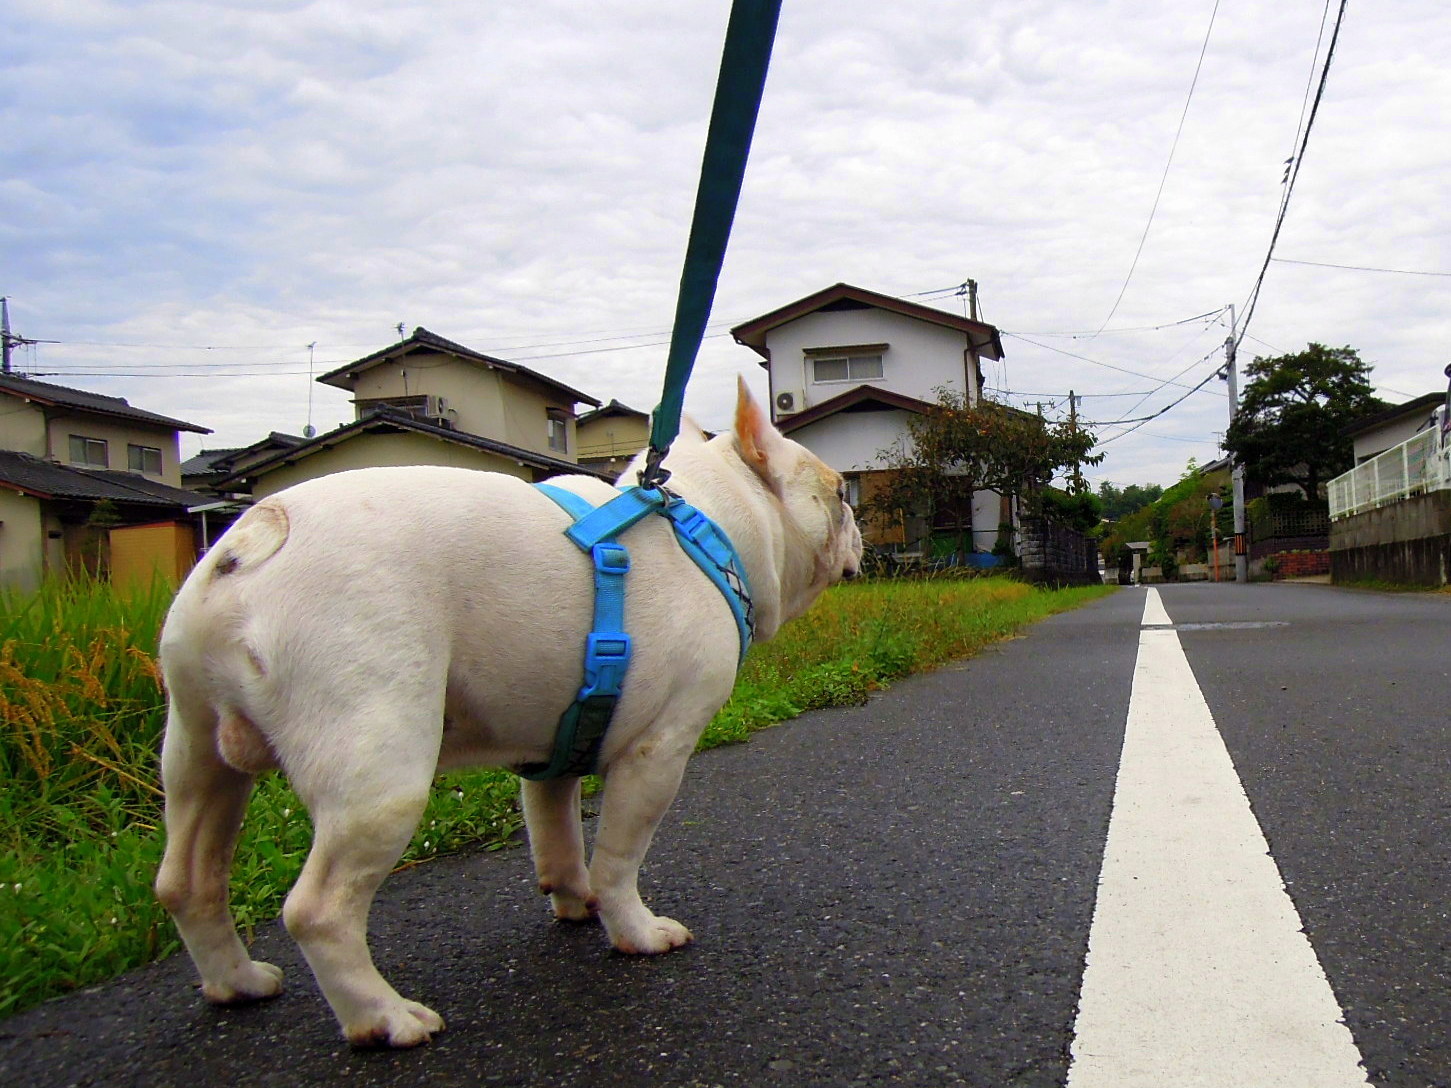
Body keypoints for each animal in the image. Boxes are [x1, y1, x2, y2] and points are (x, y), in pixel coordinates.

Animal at [155, 382, 858, 1050]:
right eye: (839, 489)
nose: (857, 515)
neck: (705, 524)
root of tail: (259, 533)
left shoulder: (554, 751)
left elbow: (559, 838)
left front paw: (577, 901)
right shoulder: (658, 752)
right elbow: (619, 857)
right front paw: (634, 931)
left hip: (196, 752)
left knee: (188, 878)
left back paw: (237, 981)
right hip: (380, 775)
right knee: (318, 909)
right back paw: (383, 1017)